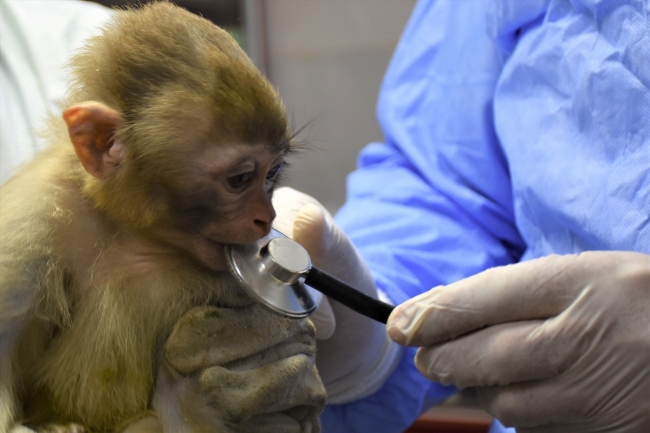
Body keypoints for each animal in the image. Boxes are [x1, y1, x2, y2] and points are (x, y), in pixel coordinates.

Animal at [0, 1, 324, 430]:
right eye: (240, 179)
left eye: (272, 174)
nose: (265, 218)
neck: (131, 231)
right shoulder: (28, 225)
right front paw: (196, 404)